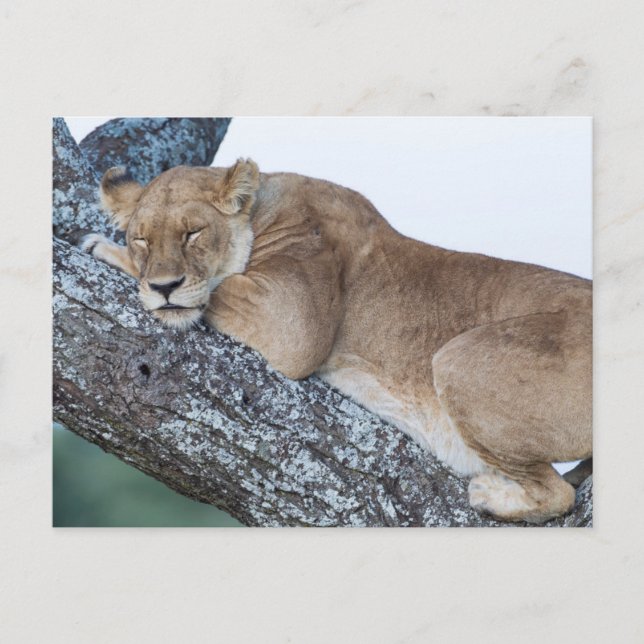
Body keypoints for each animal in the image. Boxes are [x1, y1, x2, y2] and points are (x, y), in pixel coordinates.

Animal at [82, 159, 592, 524]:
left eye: (193, 232)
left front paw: (105, 251)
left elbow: (214, 288)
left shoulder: (293, 320)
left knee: (560, 493)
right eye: (142, 239)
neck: (262, 211)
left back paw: (490, 495)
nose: (164, 285)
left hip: (456, 358)